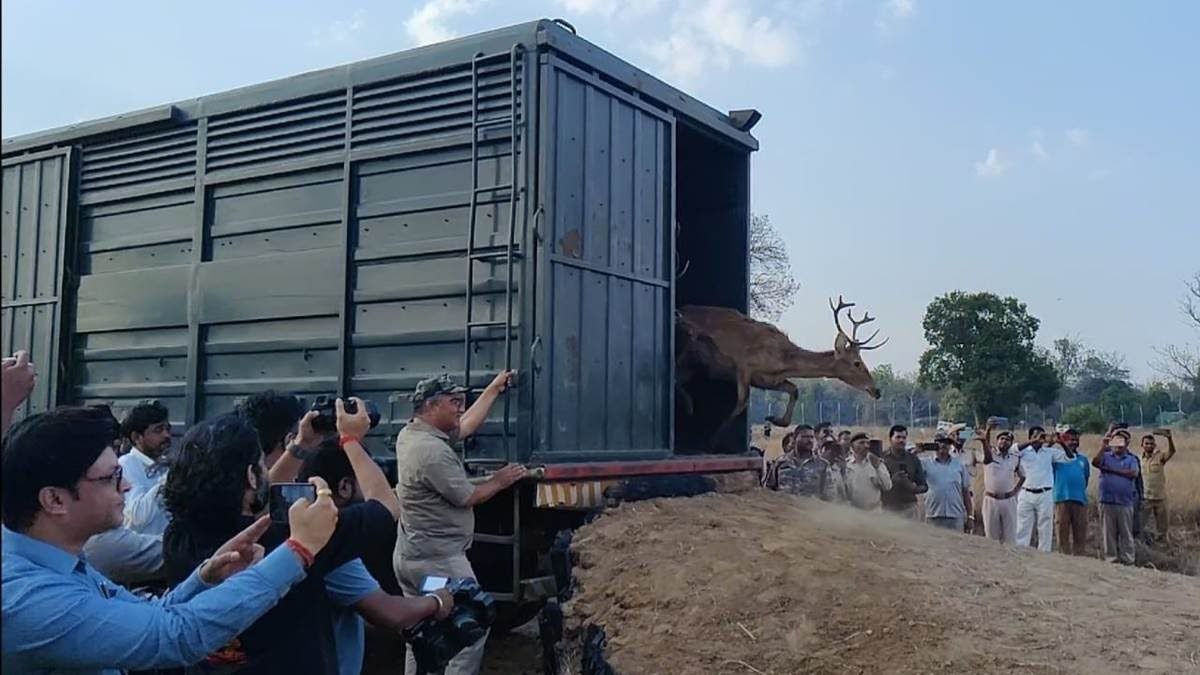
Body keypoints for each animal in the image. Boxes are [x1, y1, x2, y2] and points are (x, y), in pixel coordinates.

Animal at [676, 295, 892, 441]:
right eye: (857, 363)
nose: (877, 390)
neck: (782, 361)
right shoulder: (744, 365)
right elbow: (742, 402)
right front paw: (714, 437)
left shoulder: (768, 380)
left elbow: (794, 390)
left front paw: (774, 418)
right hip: (689, 351)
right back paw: (689, 407)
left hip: (695, 364)